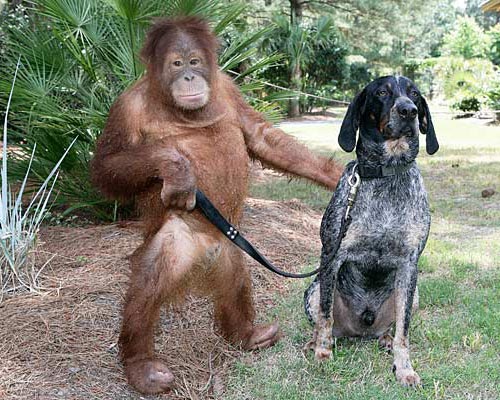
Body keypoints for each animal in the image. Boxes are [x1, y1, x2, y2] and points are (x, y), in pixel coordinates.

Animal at [300, 76, 438, 388]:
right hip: (313, 289)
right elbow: (325, 317)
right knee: (325, 321)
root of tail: (361, 330)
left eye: (415, 94)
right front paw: (322, 354)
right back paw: (315, 343)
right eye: (382, 92)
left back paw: (385, 338)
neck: (387, 173)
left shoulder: (410, 264)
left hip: (415, 293)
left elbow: (404, 331)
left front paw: (404, 368)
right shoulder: (332, 256)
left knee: (392, 326)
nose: (409, 111)